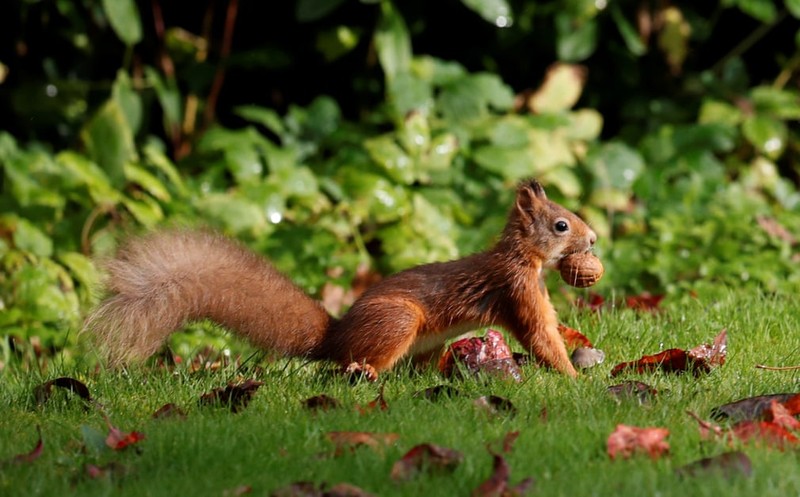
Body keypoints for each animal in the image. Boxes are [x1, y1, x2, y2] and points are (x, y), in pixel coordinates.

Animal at [86, 180, 592, 378]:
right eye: (561, 225)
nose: (593, 238)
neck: (525, 258)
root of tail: (336, 336)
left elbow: (552, 326)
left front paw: (576, 340)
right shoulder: (516, 288)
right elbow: (539, 335)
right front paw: (571, 379)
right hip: (397, 322)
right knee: (352, 364)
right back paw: (363, 371)